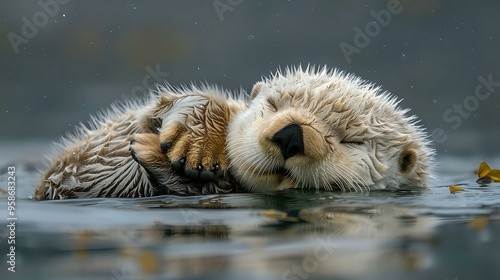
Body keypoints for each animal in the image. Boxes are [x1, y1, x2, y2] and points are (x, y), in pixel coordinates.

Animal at [35, 66, 434, 200]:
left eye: (351, 140)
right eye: (273, 105)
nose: (291, 134)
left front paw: (152, 152)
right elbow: (165, 107)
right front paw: (197, 145)